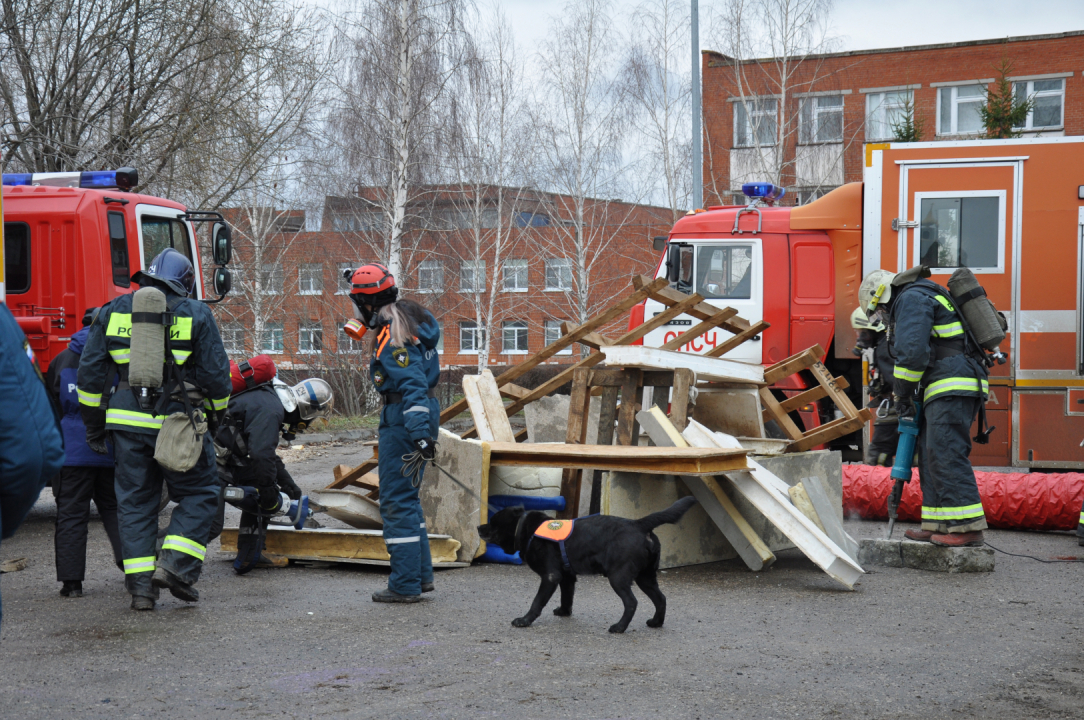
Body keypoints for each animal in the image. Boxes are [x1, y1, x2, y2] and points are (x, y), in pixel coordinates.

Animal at [479, 498, 698, 633]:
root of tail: (638, 524)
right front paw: (564, 612)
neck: (528, 529)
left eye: (492, 522)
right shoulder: (567, 577)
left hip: (618, 577)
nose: (478, 526)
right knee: (661, 599)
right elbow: (567, 597)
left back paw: (619, 627)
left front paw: (525, 620)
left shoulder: (550, 576)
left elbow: (537, 601)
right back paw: (656, 622)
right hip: (646, 577)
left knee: (631, 602)